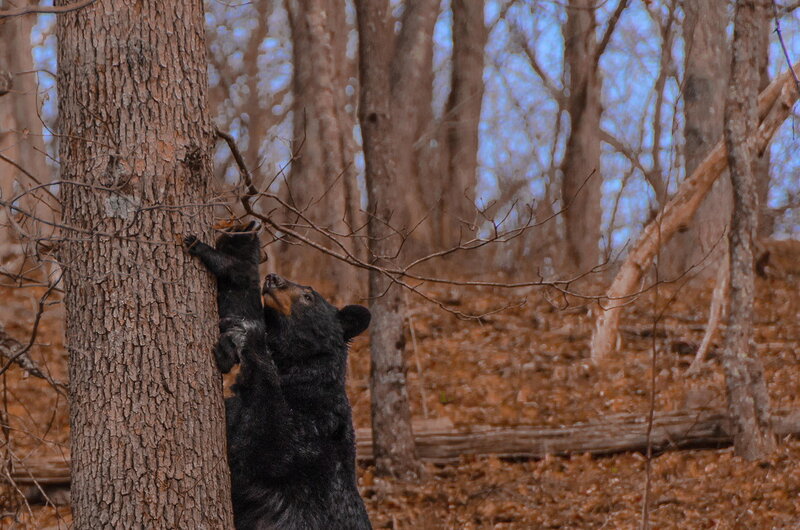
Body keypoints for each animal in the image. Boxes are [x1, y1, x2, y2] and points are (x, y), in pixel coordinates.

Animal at [184, 221, 262, 373]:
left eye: (235, 228)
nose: (254, 222)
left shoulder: (242, 270)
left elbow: (224, 264)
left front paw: (196, 244)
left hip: (236, 328)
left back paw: (222, 357)